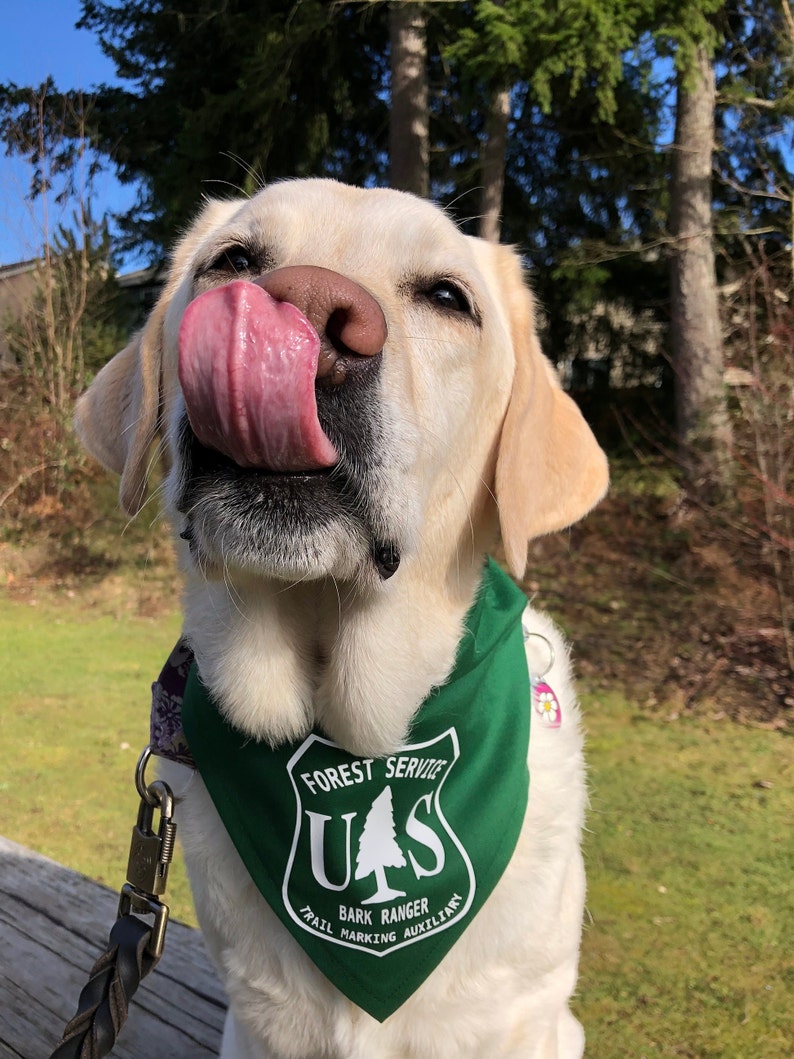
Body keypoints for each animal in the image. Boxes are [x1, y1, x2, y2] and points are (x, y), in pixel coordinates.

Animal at [76, 177, 609, 1054]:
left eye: (447, 297)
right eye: (233, 260)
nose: (309, 307)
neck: (350, 731)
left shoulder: (521, 1016)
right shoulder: (256, 1023)